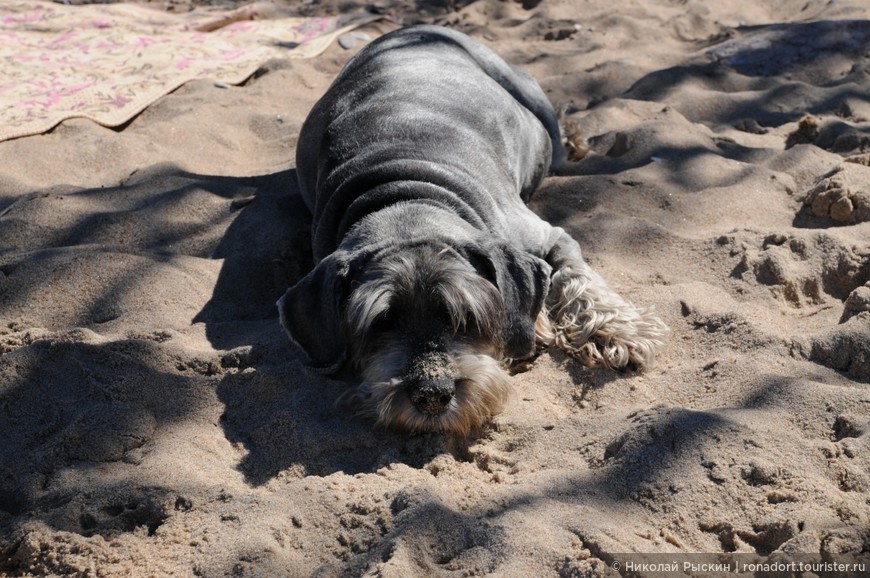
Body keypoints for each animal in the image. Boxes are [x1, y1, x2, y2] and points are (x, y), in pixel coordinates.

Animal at [280, 24, 668, 434]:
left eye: (464, 316)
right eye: (381, 322)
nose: (432, 394)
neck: (407, 194)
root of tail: (412, 29)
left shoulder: (547, 236)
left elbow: (581, 281)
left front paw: (620, 331)